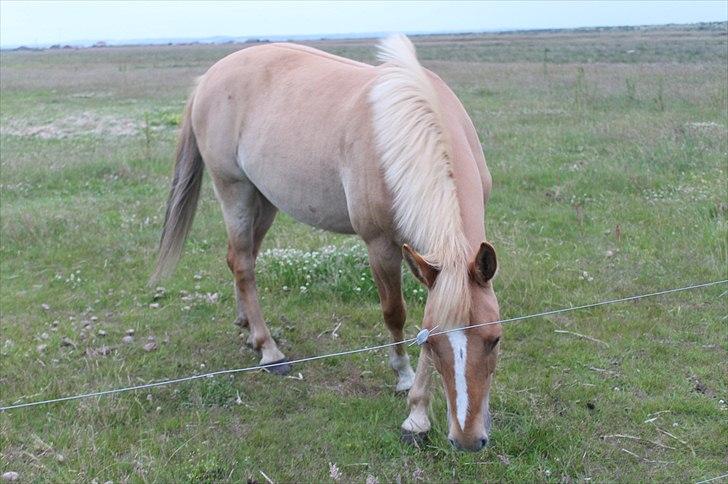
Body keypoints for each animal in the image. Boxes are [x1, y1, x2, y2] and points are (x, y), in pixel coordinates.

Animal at [153, 35, 500, 454]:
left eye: (495, 339)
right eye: (435, 347)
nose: (467, 440)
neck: (410, 133)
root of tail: (209, 77)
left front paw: (418, 413)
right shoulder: (381, 246)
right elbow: (396, 314)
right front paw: (406, 388)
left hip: (264, 198)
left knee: (239, 257)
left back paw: (247, 326)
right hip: (234, 190)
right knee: (243, 264)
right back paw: (269, 350)